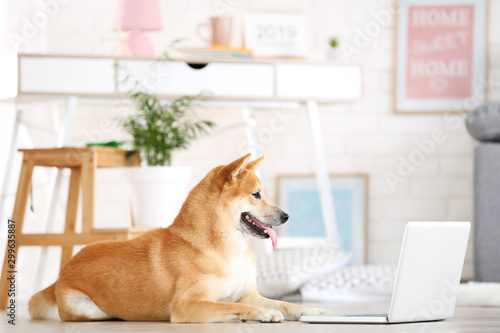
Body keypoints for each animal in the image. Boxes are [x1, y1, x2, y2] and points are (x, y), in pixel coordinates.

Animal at [29, 155, 330, 322]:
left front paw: (310, 311)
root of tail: (61, 273)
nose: (286, 216)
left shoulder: (249, 294)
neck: (224, 249)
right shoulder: (188, 306)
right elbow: (233, 305)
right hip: (86, 307)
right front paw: (261, 314)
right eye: (256, 194)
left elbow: (284, 303)